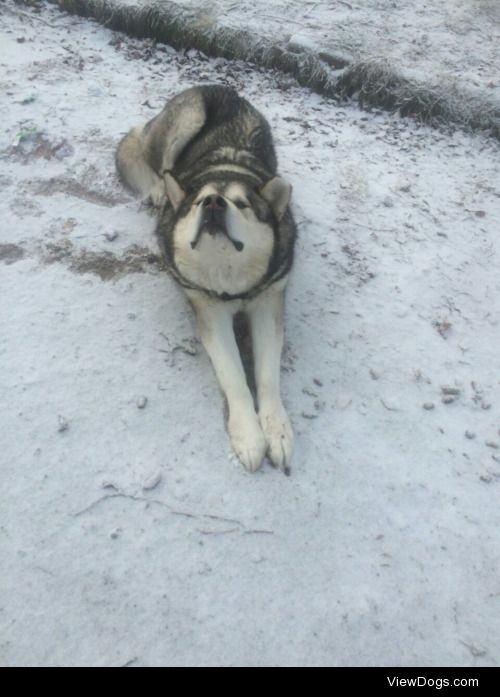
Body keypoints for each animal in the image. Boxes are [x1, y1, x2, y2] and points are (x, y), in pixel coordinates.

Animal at [116, 84, 296, 470]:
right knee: (151, 157)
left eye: (243, 205)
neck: (230, 282)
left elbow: (267, 374)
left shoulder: (268, 300)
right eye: (199, 202)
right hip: (187, 117)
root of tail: (222, 87)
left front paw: (276, 429)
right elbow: (234, 375)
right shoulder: (209, 309)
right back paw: (160, 189)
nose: (213, 203)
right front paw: (248, 435)